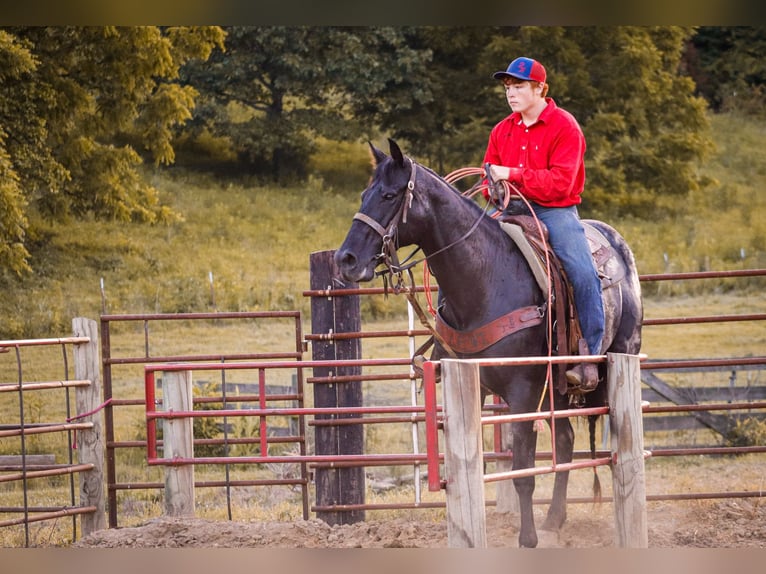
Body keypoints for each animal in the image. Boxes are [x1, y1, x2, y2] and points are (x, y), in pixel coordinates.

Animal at [336, 140, 640, 548]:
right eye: (364, 194)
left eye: (388, 195)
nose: (346, 259)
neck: (487, 279)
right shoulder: (473, 385)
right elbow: (475, 463)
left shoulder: (524, 390)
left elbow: (523, 470)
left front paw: (527, 539)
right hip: (558, 387)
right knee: (566, 439)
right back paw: (554, 519)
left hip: (620, 354)